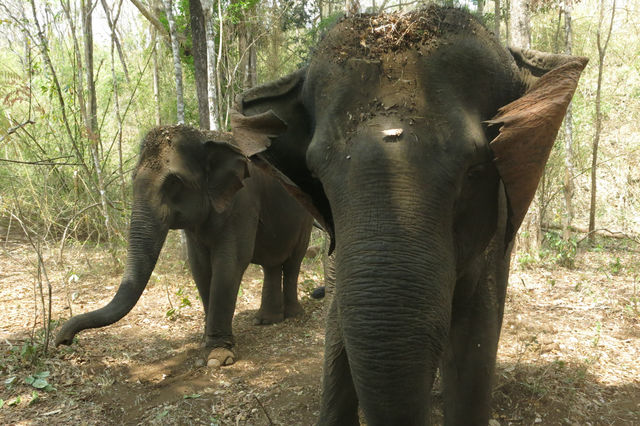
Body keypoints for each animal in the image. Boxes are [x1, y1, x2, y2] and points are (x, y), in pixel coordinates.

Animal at [53, 125, 314, 366]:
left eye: (174, 182)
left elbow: (230, 262)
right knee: (272, 264)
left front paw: (219, 355)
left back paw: (293, 315)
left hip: (306, 217)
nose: (62, 340)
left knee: (294, 262)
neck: (205, 137)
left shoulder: (243, 202)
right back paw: (266, 320)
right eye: (133, 178)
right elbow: (199, 266)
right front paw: (206, 342)